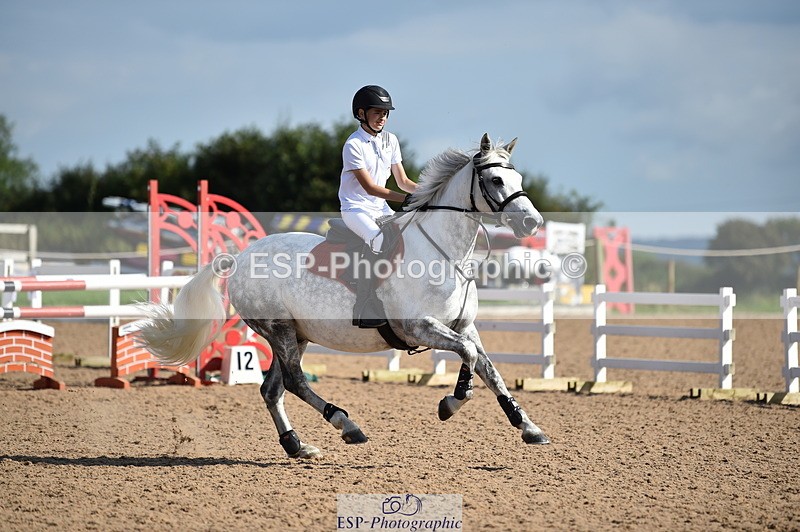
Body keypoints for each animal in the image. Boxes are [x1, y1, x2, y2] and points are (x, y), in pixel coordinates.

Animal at [137, 133, 551, 459]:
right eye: (495, 179)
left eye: (517, 177)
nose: (532, 222)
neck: (444, 253)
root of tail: (239, 256)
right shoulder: (419, 327)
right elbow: (468, 357)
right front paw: (450, 403)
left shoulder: (464, 326)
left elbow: (490, 369)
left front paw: (527, 426)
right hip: (279, 329)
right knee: (294, 383)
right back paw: (346, 425)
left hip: (296, 333)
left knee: (272, 389)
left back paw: (297, 445)